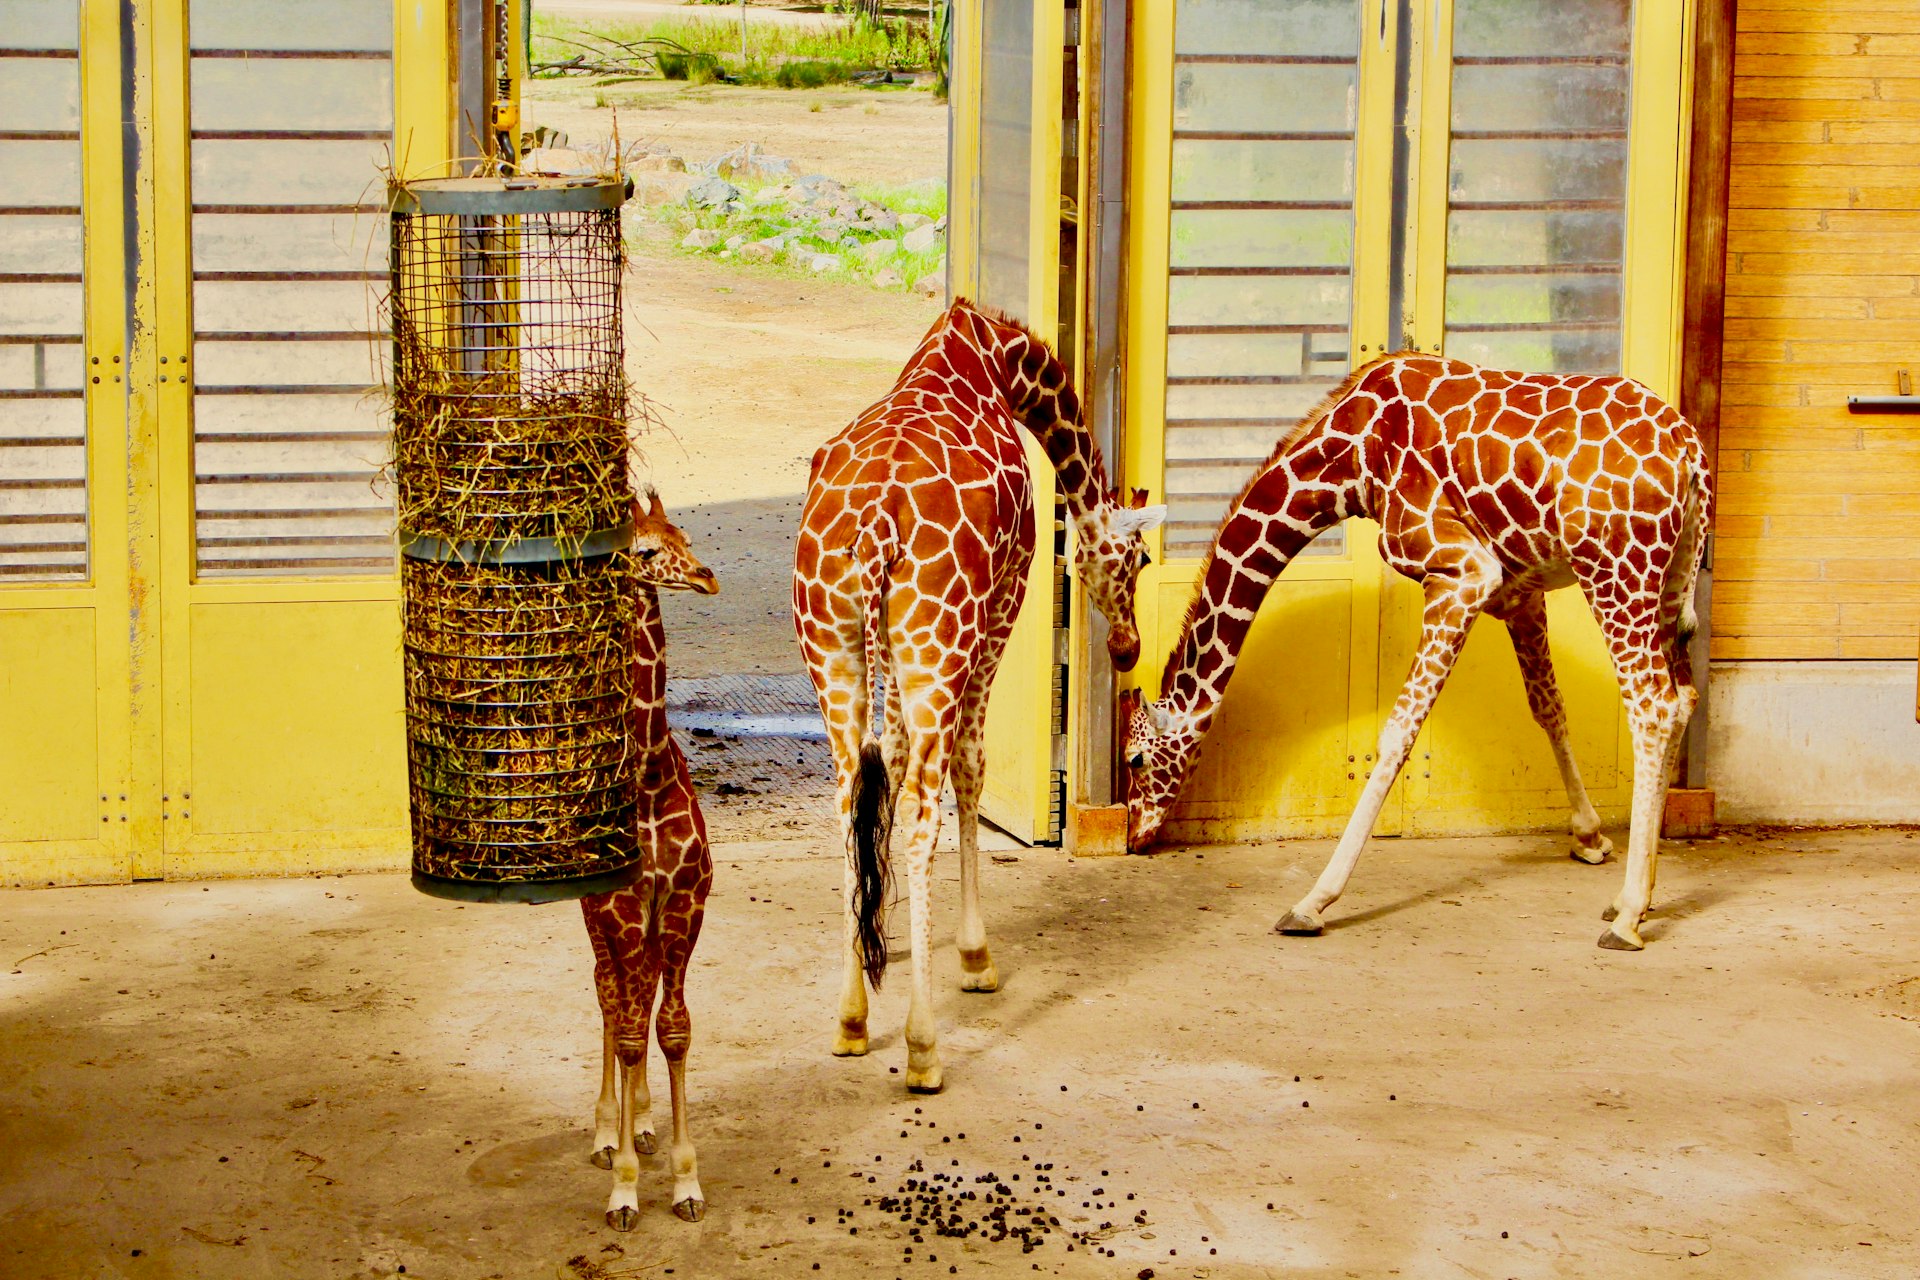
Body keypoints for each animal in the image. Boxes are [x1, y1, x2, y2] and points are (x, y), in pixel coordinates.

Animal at [793, 298, 1164, 1094]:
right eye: (1141, 557)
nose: (1126, 650)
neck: (994, 359)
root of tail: (877, 527)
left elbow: (892, 769)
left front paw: (888, 935)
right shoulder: (1002, 609)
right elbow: (971, 769)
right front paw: (972, 956)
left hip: (836, 648)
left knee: (848, 795)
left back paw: (850, 1020)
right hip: (941, 643)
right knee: (923, 807)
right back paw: (923, 1048)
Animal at [1122, 354, 1711, 952]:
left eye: (1136, 759)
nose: (1134, 835)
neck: (1350, 457)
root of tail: (1689, 451)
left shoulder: (1463, 572)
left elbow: (1396, 735)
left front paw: (1313, 902)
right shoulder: (1516, 591)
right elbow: (1548, 707)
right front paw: (1591, 838)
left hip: (1615, 572)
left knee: (1654, 706)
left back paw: (1628, 916)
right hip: (1671, 577)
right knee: (1683, 697)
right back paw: (1638, 895)